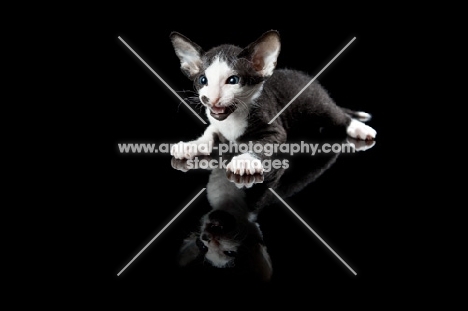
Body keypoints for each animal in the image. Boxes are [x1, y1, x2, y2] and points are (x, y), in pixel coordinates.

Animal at [170, 29, 374, 176]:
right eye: (203, 80)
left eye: (233, 80)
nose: (211, 99)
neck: (233, 119)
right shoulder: (217, 124)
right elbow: (209, 133)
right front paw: (192, 145)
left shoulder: (275, 129)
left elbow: (261, 144)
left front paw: (245, 160)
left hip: (316, 104)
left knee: (339, 116)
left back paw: (360, 129)